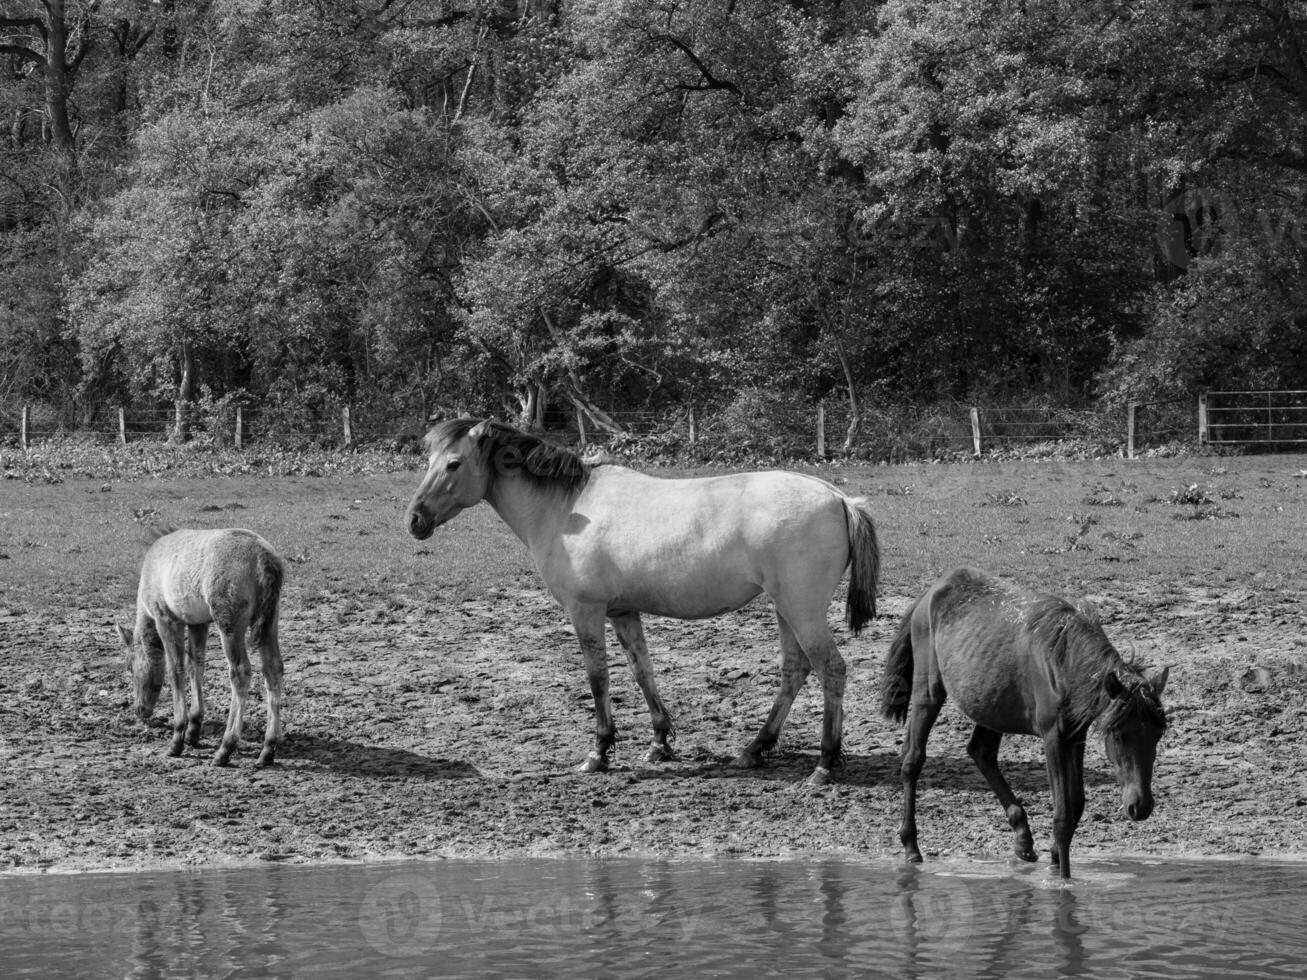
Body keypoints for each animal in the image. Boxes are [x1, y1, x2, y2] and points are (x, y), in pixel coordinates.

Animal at [116, 530, 286, 768]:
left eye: (129, 667)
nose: (140, 709)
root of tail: (265, 559)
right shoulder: (198, 622)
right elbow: (195, 665)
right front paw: (193, 730)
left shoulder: (166, 618)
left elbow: (176, 670)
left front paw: (178, 737)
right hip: (270, 620)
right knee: (273, 669)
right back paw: (268, 749)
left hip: (229, 620)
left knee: (240, 671)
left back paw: (225, 748)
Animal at [402, 418, 883, 789]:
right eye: (428, 462)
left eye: (453, 463)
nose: (414, 519)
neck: (566, 509)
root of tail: (839, 498)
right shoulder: (623, 612)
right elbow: (642, 671)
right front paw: (659, 743)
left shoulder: (586, 611)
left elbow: (598, 678)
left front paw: (599, 753)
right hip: (785, 609)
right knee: (795, 670)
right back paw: (755, 749)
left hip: (801, 610)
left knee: (830, 669)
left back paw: (824, 764)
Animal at [883, 567, 1171, 883]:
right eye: (1118, 735)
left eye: (1158, 734)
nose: (1140, 806)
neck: (1063, 659)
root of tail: (931, 591)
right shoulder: (1053, 736)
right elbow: (1062, 813)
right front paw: (1063, 879)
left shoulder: (1075, 735)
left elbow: (1077, 804)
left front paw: (1055, 857)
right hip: (929, 694)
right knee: (913, 760)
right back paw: (911, 846)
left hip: (991, 705)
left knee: (980, 752)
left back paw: (1023, 839)